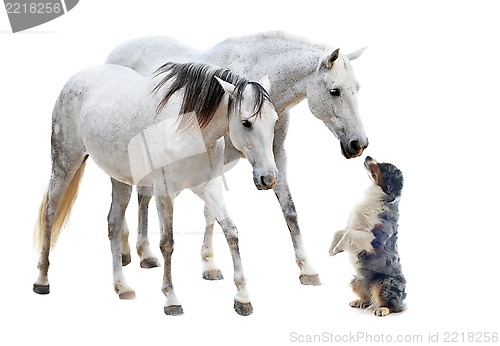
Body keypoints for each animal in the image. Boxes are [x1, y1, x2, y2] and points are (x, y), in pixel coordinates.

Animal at [33, 62, 280, 316]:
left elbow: (231, 231)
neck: (187, 129)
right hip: (64, 164)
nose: (268, 178)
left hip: (120, 179)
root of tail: (76, 78)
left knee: (113, 223)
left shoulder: (208, 187)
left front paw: (242, 298)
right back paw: (42, 280)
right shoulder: (165, 193)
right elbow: (167, 243)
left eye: (274, 121)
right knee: (50, 213)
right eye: (246, 123)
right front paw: (171, 299)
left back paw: (122, 287)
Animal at [106, 31, 372, 286]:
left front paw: (307, 269)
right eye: (334, 91)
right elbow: (210, 213)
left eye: (358, 89)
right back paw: (136, 252)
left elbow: (289, 211)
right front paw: (209, 265)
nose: (359, 144)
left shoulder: (276, 157)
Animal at [328, 157, 406, 316]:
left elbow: (350, 233)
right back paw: (360, 301)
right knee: (369, 298)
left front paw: (338, 248)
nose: (367, 157)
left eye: (385, 166)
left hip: (386, 283)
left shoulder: (376, 239)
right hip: (356, 280)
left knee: (395, 306)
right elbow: (339, 232)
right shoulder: (352, 225)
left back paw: (382, 309)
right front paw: (332, 249)